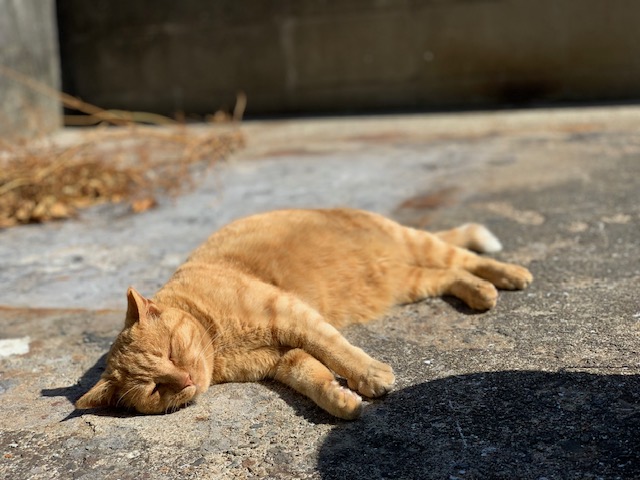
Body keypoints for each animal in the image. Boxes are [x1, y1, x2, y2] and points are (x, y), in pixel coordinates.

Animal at [77, 208, 532, 418]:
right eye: (155, 388)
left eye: (171, 351)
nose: (186, 380)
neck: (220, 347)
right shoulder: (283, 359)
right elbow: (314, 377)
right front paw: (343, 401)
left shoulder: (291, 315)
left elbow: (336, 349)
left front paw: (371, 376)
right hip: (407, 281)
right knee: (450, 274)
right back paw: (480, 292)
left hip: (417, 246)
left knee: (465, 256)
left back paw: (509, 275)